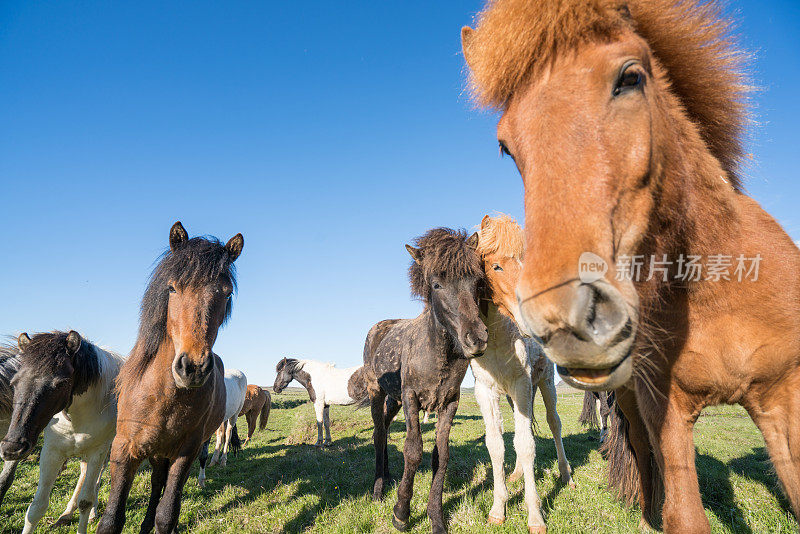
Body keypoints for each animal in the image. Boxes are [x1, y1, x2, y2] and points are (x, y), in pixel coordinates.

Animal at [0, 332, 123, 532]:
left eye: (61, 383)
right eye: (14, 382)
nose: (12, 447)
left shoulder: (97, 451)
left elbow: (85, 501)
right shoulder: (52, 452)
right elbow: (37, 507)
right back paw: (66, 515)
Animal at [95, 223, 242, 534]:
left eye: (227, 294)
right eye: (172, 287)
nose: (193, 368)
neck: (163, 395)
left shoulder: (186, 451)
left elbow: (168, 512)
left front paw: (164, 524)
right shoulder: (124, 449)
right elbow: (112, 519)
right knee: (156, 484)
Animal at [462, 1, 800, 534]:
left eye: (630, 78)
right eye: (505, 145)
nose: (567, 319)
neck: (719, 291)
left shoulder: (783, 402)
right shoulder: (665, 410)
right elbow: (680, 509)